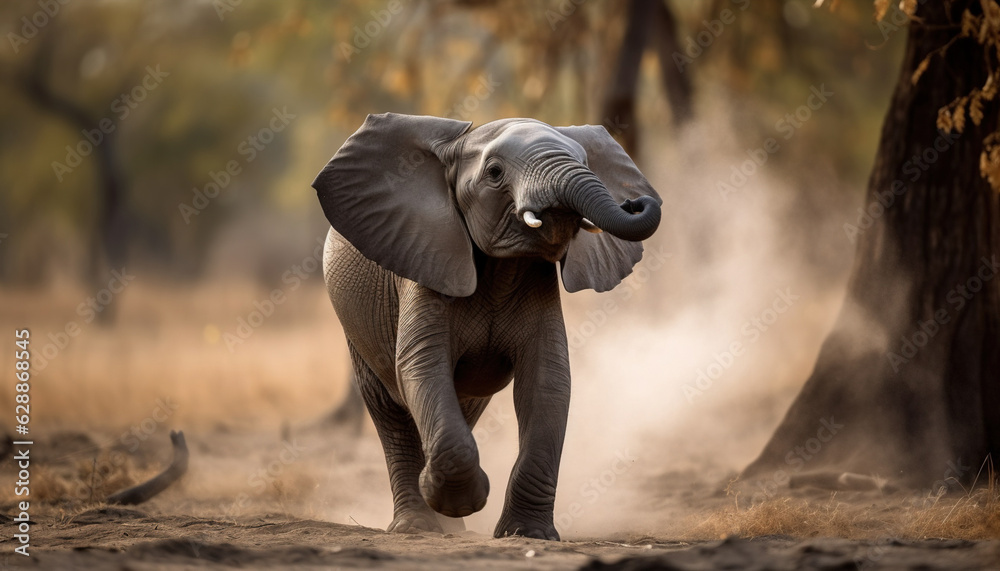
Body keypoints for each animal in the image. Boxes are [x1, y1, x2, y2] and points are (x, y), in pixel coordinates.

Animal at [312, 113, 661, 540]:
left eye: (586, 162)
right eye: (494, 173)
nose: (635, 201)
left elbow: (547, 381)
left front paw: (527, 534)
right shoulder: (427, 260)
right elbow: (420, 366)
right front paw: (457, 497)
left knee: (464, 405)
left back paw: (451, 525)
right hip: (353, 326)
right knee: (388, 408)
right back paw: (419, 524)